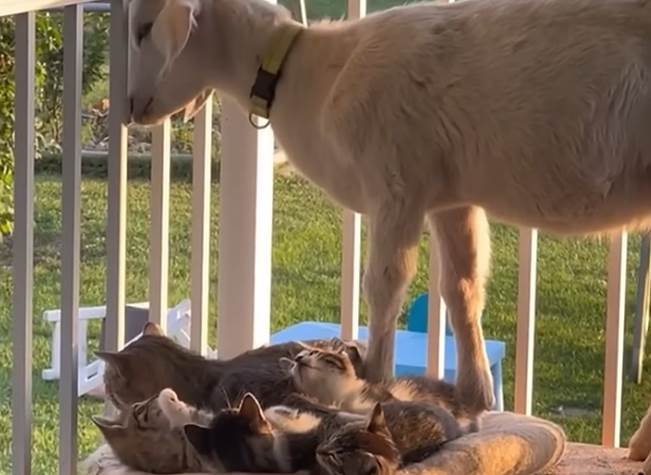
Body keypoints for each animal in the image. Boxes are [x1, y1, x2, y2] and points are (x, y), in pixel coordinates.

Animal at [127, 0, 651, 413]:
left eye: (142, 28)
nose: (131, 106)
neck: (314, 75)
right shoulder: (450, 197)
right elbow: (461, 289)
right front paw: (475, 397)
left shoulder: (397, 184)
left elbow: (383, 284)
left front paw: (374, 381)